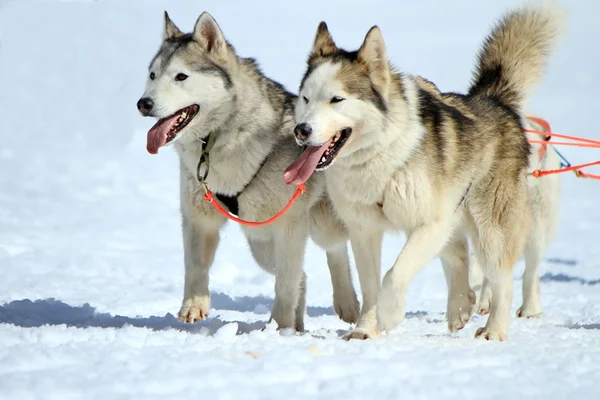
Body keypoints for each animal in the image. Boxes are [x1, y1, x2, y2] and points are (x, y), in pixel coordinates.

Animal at [138, 11, 358, 332]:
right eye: (153, 75)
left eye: (181, 76)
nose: (143, 103)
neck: (218, 139)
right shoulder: (198, 218)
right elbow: (195, 265)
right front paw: (194, 306)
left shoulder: (290, 225)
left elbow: (285, 284)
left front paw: (279, 329)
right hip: (260, 243)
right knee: (301, 277)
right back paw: (297, 324)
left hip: (315, 226)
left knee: (333, 251)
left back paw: (345, 304)